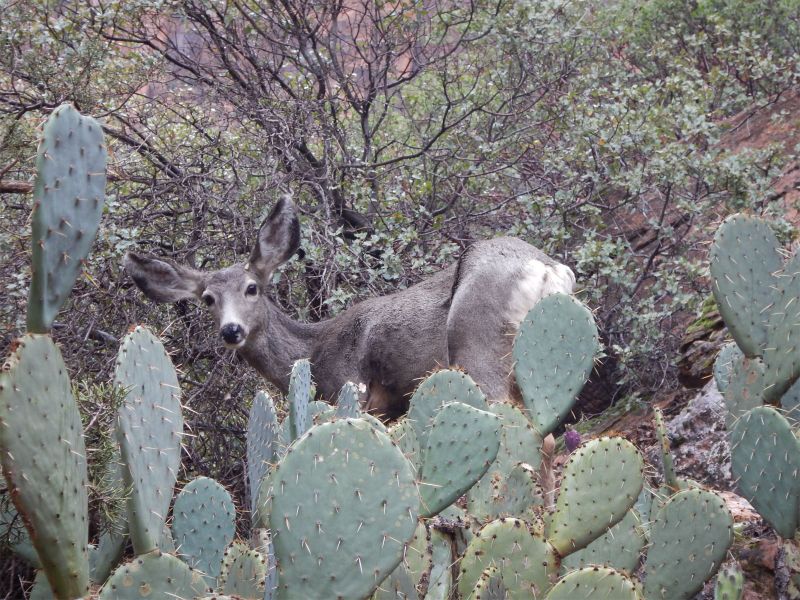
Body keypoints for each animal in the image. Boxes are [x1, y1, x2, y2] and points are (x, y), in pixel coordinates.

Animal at [125, 197, 576, 418]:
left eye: (252, 288)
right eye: (208, 300)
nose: (231, 330)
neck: (313, 350)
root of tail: (549, 271)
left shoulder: (354, 392)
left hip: (478, 349)